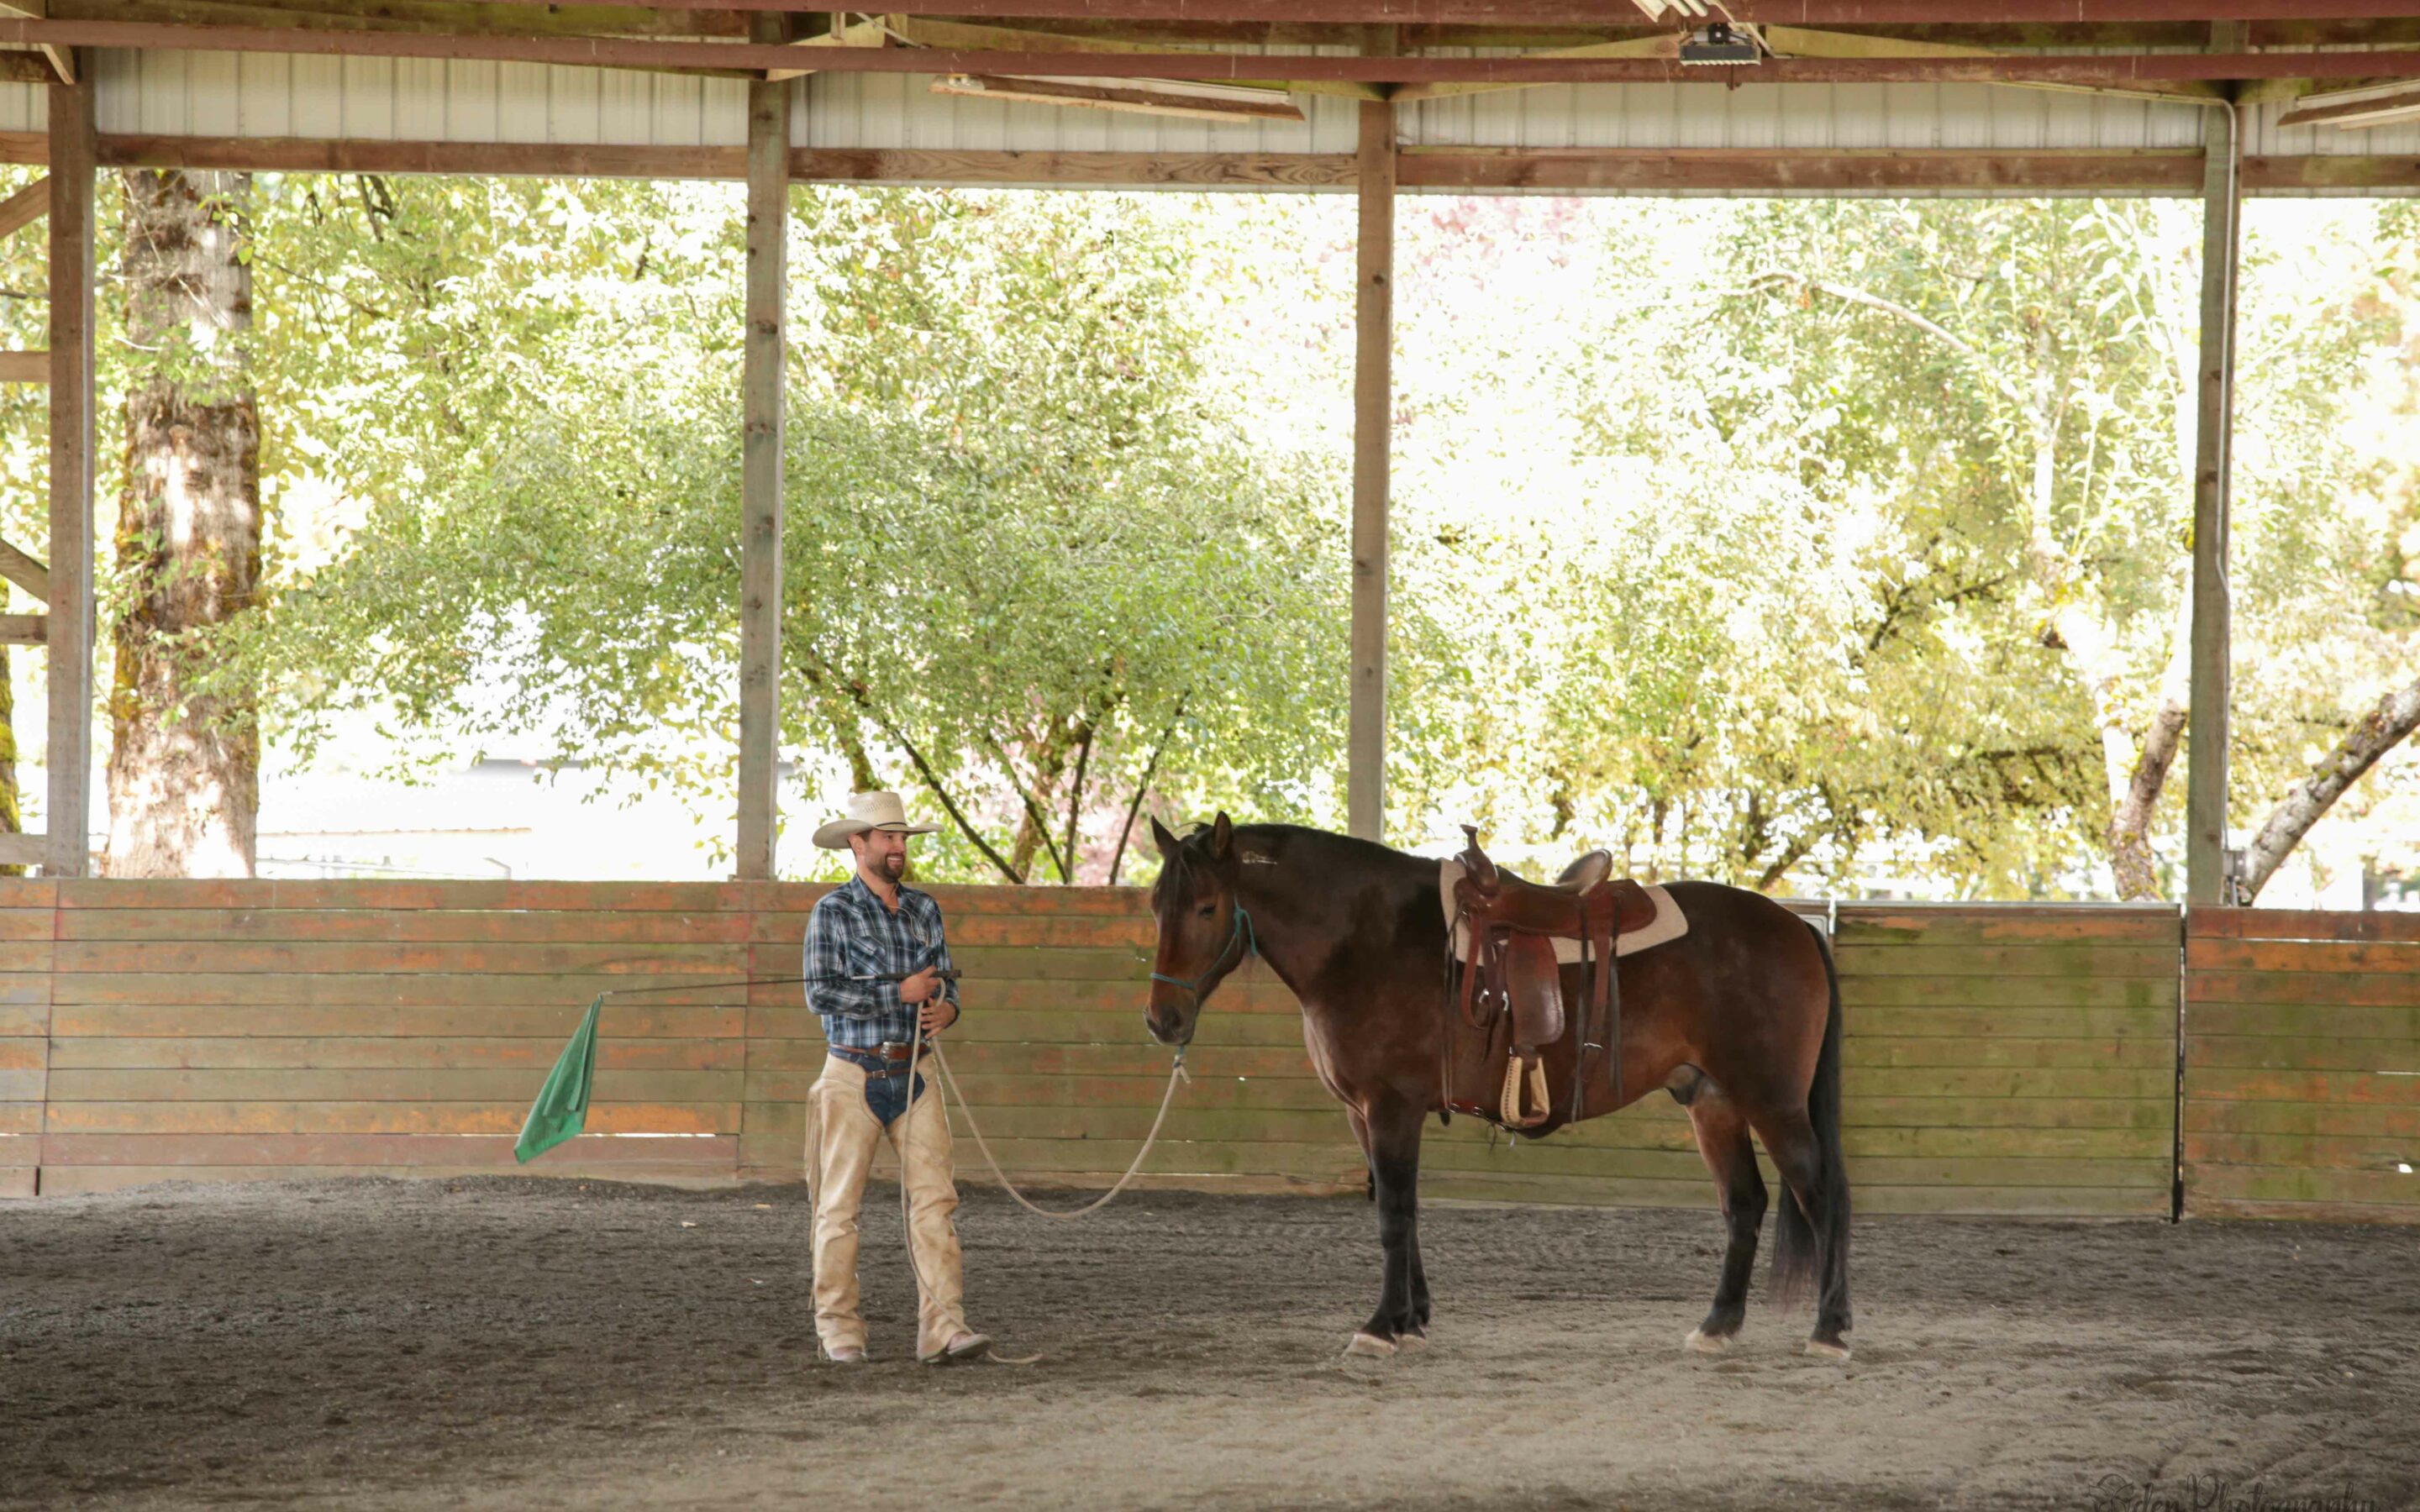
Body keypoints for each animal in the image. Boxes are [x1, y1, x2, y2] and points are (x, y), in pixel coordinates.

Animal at [1137, 812, 1849, 1354]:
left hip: (1773, 1102)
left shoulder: (1390, 1107)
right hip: (1713, 1101)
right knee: (1745, 1203)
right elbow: (1401, 1210)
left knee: (1820, 1194)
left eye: (1206, 907)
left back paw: (1831, 1330)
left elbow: (1395, 1214)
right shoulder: (1361, 1115)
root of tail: (1796, 926)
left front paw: (1381, 1326)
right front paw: (1413, 1318)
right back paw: (1718, 1326)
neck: (1364, 939)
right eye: (1156, 906)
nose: (1162, 1019)